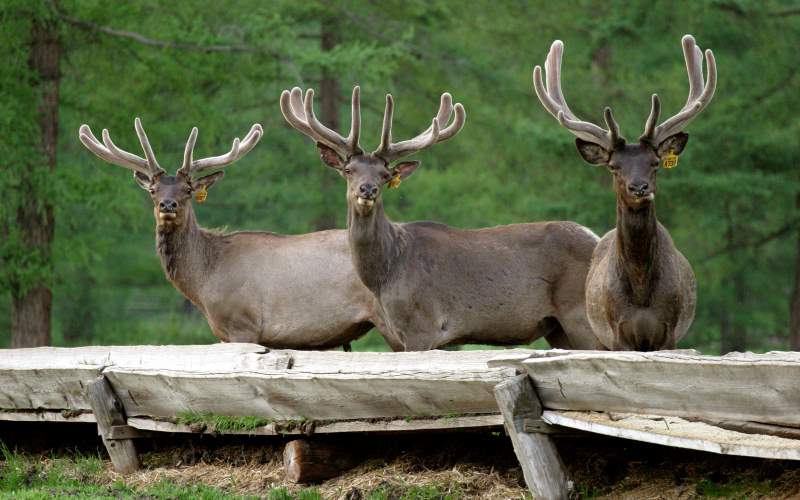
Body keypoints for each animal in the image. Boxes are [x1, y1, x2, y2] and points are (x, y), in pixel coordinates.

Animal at [282, 86, 600, 350]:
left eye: (384, 175)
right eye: (349, 170)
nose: (368, 189)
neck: (387, 273)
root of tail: (596, 238)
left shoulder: (424, 326)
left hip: (581, 315)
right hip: (557, 328)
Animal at [536, 35, 716, 350]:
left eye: (655, 163)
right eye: (613, 166)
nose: (639, 187)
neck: (642, 295)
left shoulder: (670, 332)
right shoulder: (617, 333)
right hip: (593, 332)